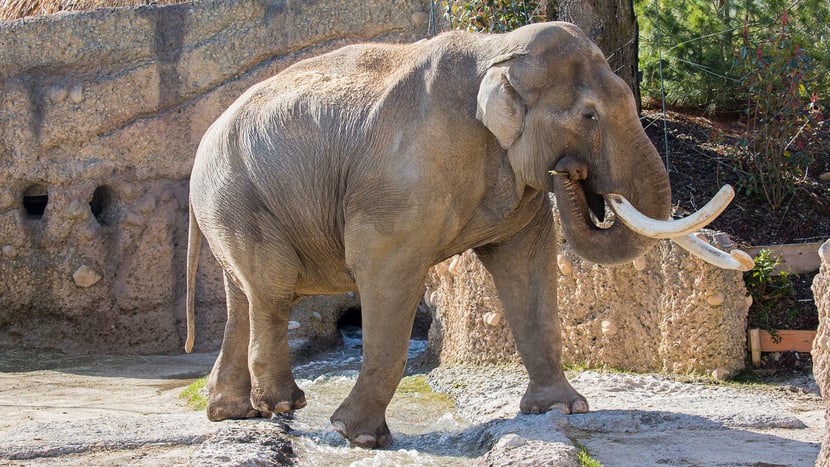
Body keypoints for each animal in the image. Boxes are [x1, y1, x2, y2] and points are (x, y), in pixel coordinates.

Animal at [185, 21, 750, 449]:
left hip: (231, 204)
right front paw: (357, 436)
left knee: (245, 295)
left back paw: (233, 412)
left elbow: (526, 265)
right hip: (241, 195)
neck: (497, 49)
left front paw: (566, 408)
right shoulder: (403, 179)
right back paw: (284, 404)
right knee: (273, 290)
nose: (570, 171)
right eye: (588, 116)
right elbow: (385, 270)